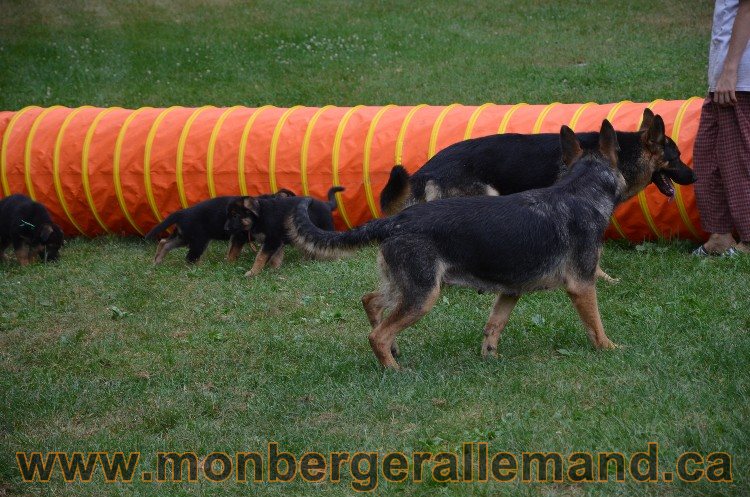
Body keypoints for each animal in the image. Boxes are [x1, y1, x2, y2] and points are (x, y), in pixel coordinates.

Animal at [147, 188, 296, 264]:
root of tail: (182, 212)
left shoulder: (236, 236)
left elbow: (231, 250)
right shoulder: (239, 236)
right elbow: (233, 252)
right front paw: (230, 264)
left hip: (183, 237)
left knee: (164, 242)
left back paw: (157, 261)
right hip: (198, 241)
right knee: (189, 258)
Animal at [290, 120, 632, 368]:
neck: (580, 191)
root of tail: (395, 221)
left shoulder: (510, 291)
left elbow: (494, 325)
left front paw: (490, 356)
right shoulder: (582, 285)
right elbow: (596, 325)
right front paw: (610, 349)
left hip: (406, 287)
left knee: (371, 302)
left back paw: (395, 352)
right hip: (423, 296)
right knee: (377, 335)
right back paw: (394, 371)